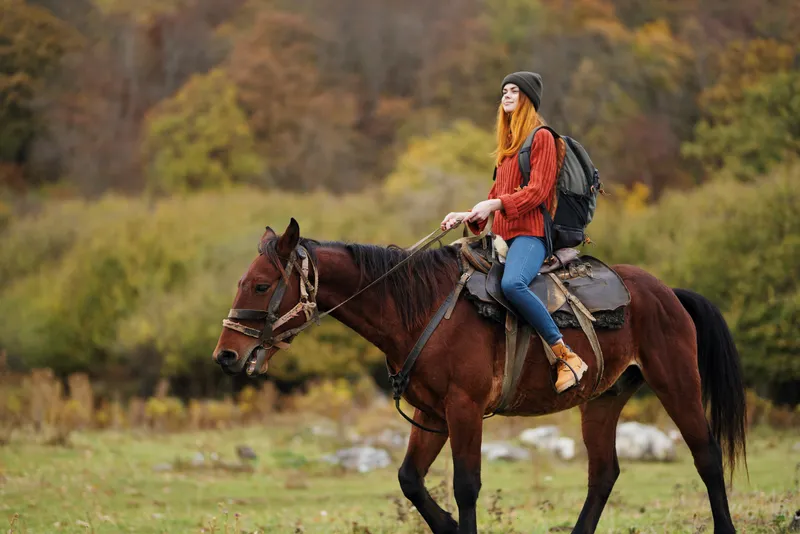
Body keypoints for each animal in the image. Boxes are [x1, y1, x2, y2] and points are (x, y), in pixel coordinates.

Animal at [212, 218, 746, 534]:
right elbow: (410, 479)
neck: (421, 308)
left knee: (706, 456)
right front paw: (447, 526)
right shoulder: (433, 413)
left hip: (677, 383)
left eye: (260, 285)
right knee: (604, 473)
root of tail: (668, 292)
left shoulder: (464, 409)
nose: (226, 355)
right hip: (602, 400)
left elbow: (466, 485)